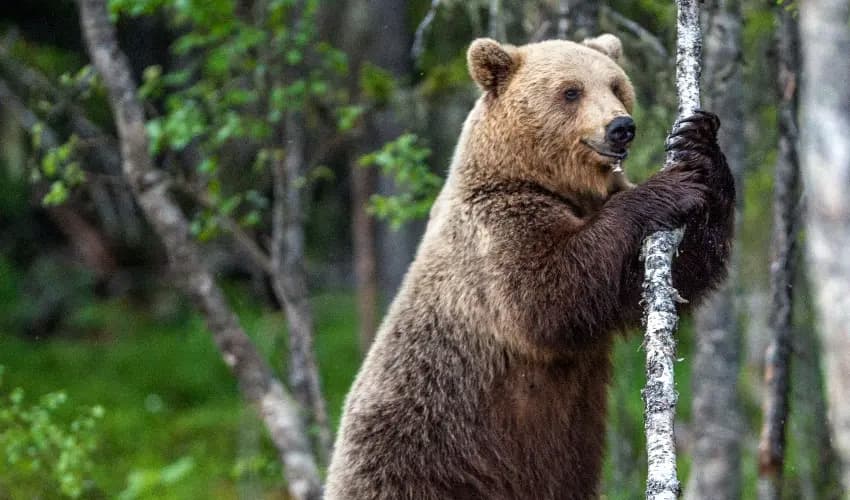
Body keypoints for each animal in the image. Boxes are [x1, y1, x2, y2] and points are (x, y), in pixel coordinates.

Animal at [326, 34, 735, 500]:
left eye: (615, 85)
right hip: (425, 458)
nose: (621, 126)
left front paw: (699, 145)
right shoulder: (494, 235)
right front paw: (663, 188)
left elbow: (674, 274)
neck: (544, 180)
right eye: (571, 91)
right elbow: (550, 295)